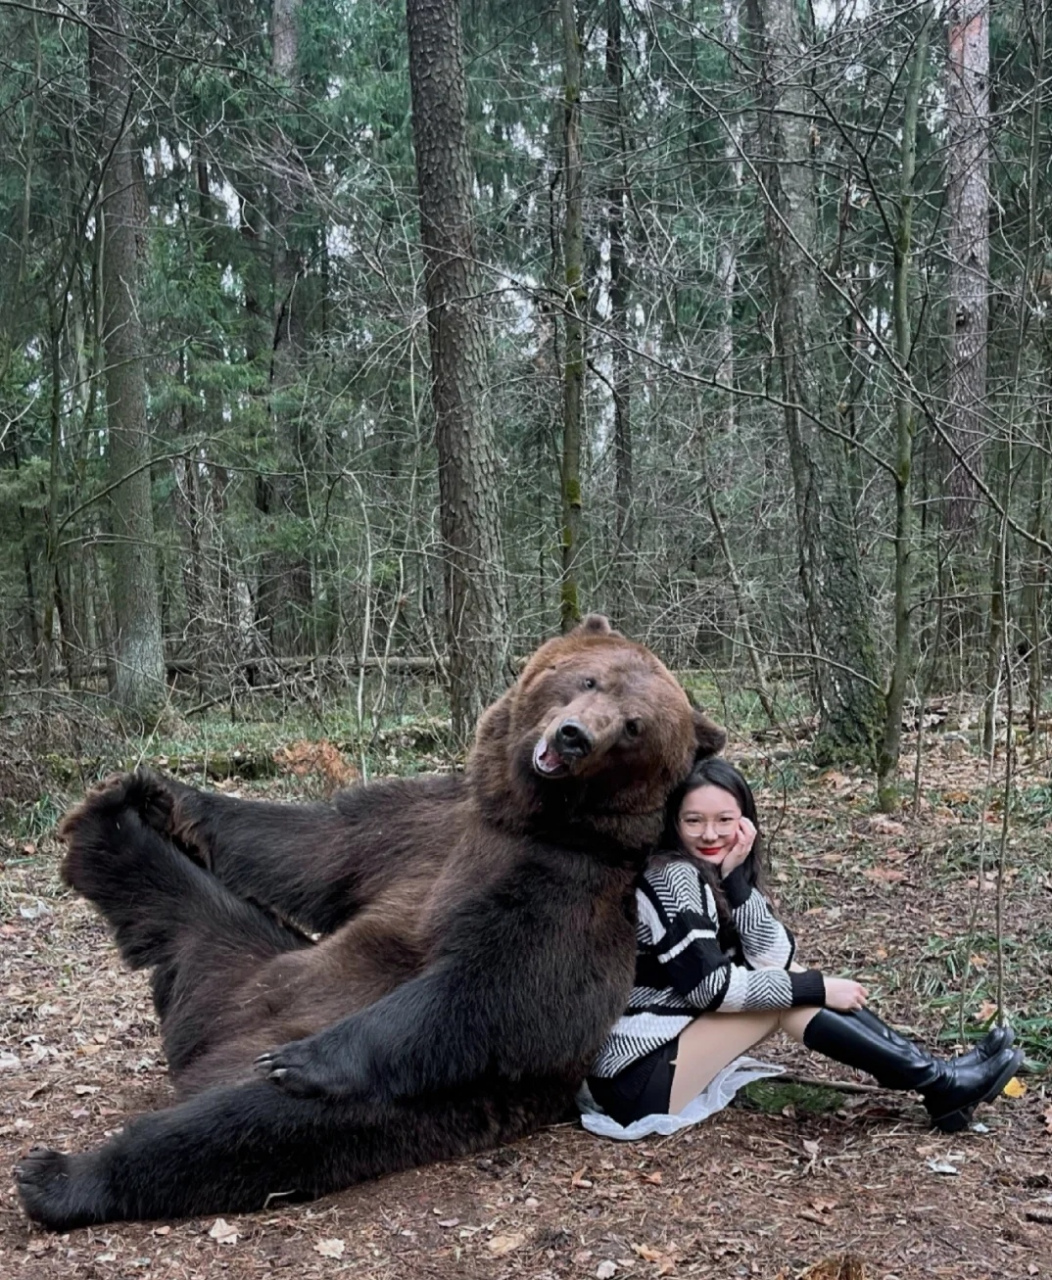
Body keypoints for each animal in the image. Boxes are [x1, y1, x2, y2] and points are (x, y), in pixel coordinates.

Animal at [16, 619, 726, 1228]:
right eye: (588, 679)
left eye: (634, 727)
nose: (575, 736)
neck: (526, 815)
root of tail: (206, 1052)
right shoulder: (422, 823)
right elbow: (314, 843)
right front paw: (162, 791)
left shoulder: (564, 895)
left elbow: (491, 990)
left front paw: (304, 1058)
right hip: (247, 969)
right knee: (186, 908)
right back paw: (108, 823)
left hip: (390, 1102)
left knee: (236, 1127)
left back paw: (58, 1175)